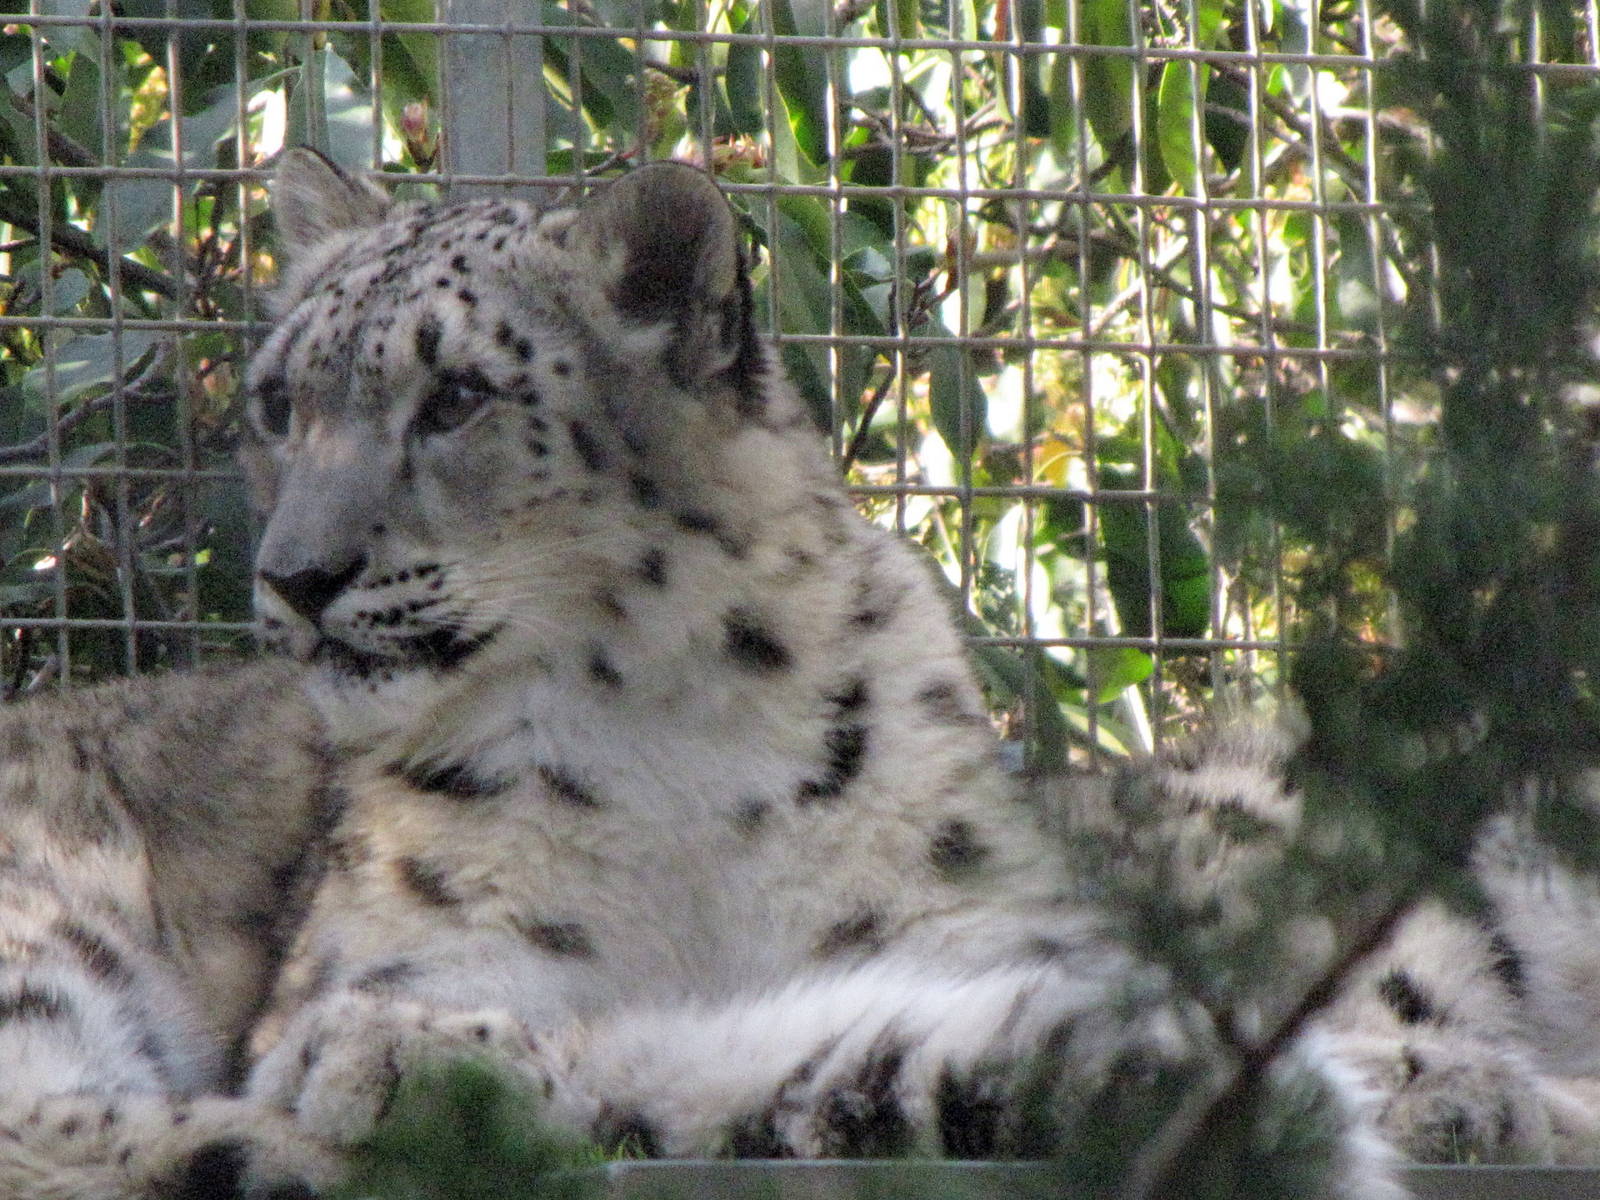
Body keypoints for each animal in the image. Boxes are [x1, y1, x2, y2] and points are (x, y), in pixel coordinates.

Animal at [0, 149, 1596, 1198]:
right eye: (282, 402)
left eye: (456, 396)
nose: (294, 575)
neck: (663, 745)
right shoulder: (409, 942)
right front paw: (411, 1047)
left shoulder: (970, 927)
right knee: (69, 1123)